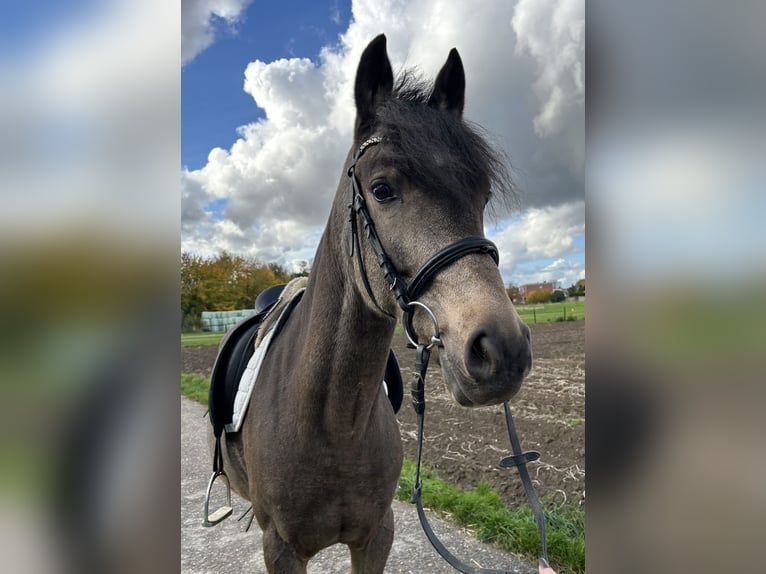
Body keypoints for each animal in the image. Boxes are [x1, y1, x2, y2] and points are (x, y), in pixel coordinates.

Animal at [210, 34, 532, 573]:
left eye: (482, 195)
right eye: (382, 190)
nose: (503, 351)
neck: (331, 422)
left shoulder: (377, 535)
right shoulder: (282, 549)